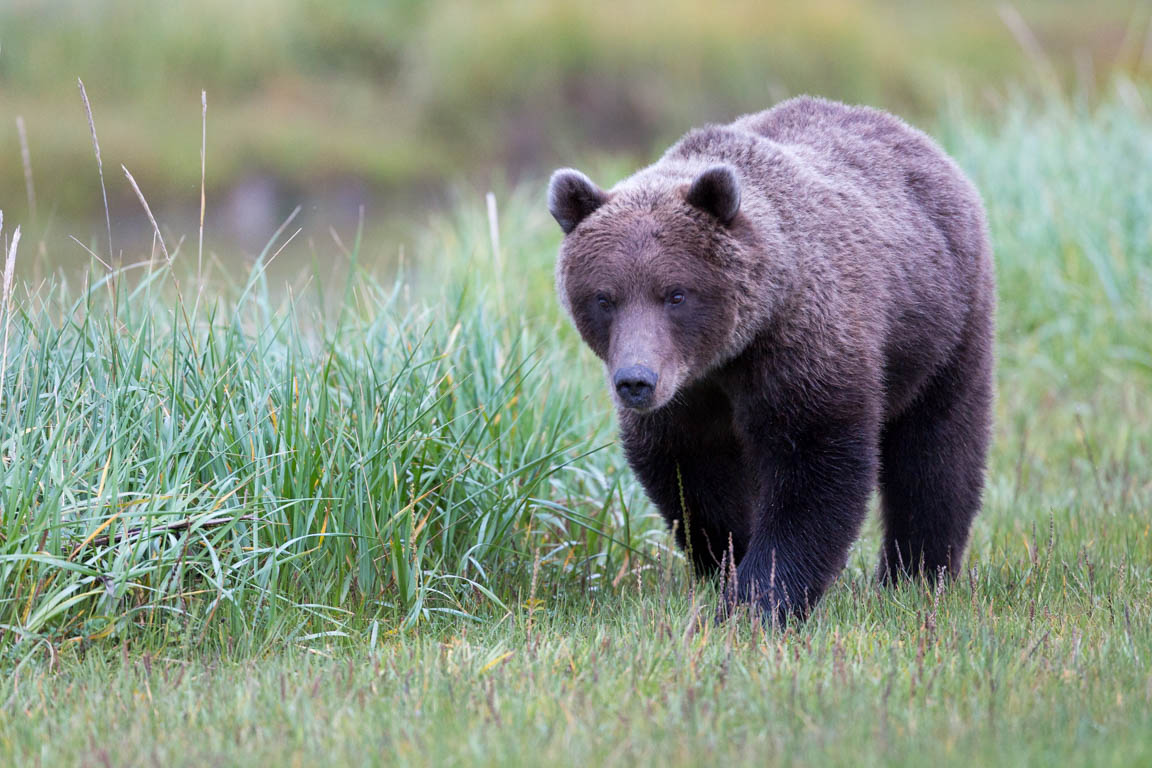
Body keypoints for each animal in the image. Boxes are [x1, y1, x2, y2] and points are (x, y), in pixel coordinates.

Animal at [552, 96, 995, 626]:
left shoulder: (802, 351)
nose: (636, 380)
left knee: (937, 452)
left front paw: (757, 601)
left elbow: (814, 471)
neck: (725, 355)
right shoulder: (688, 401)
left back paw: (917, 573)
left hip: (942, 328)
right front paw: (727, 565)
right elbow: (692, 480)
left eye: (675, 293)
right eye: (604, 298)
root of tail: (911, 134)